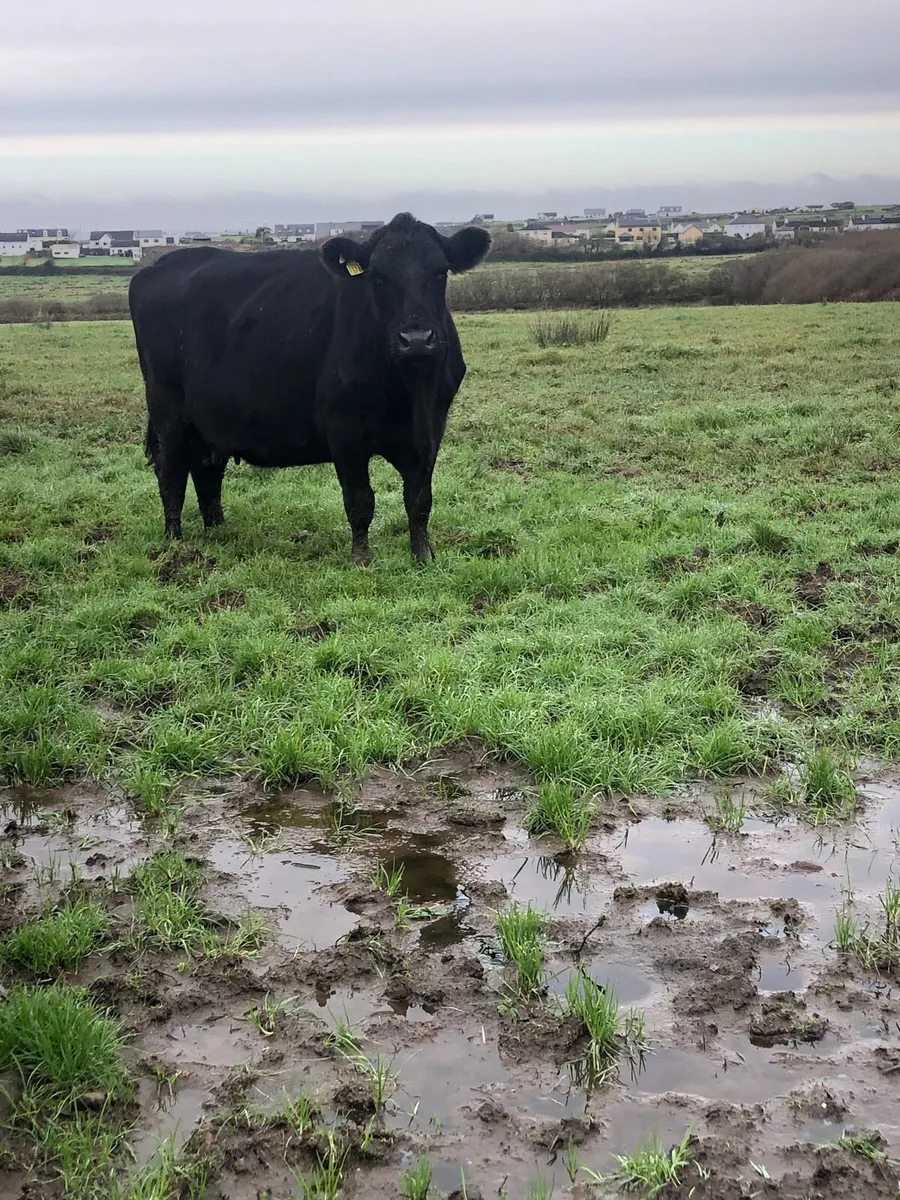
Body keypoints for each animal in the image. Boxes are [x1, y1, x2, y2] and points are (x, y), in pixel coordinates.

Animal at [128, 213, 491, 564]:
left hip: (209, 421)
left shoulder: (430, 431)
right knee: (171, 473)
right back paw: (175, 543)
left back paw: (219, 532)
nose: (416, 339)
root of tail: (159, 265)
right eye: (377, 277)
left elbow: (419, 500)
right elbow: (360, 501)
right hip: (168, 413)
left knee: (206, 471)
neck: (412, 392)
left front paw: (423, 556)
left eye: (440, 272)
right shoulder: (344, 431)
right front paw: (361, 559)